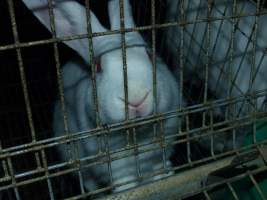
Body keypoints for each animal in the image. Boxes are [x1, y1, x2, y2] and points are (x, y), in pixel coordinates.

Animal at [22, 0, 182, 194]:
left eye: (150, 54)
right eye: (97, 66)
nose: (136, 99)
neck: (136, 135)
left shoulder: (161, 150)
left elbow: (160, 168)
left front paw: (167, 176)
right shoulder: (114, 168)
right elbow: (125, 183)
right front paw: (127, 191)